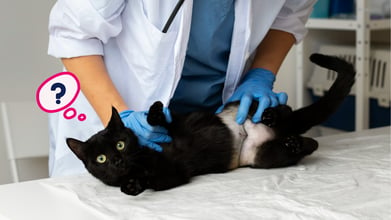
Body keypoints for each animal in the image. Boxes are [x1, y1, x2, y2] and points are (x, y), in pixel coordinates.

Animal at [68, 53, 358, 196]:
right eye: (101, 159)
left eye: (120, 143)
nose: (118, 160)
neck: (142, 161)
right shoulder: (176, 173)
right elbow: (153, 179)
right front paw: (132, 185)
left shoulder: (174, 145)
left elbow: (163, 122)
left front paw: (155, 112)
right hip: (263, 157)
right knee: (301, 145)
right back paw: (299, 143)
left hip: (248, 106)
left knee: (281, 109)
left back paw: (270, 116)